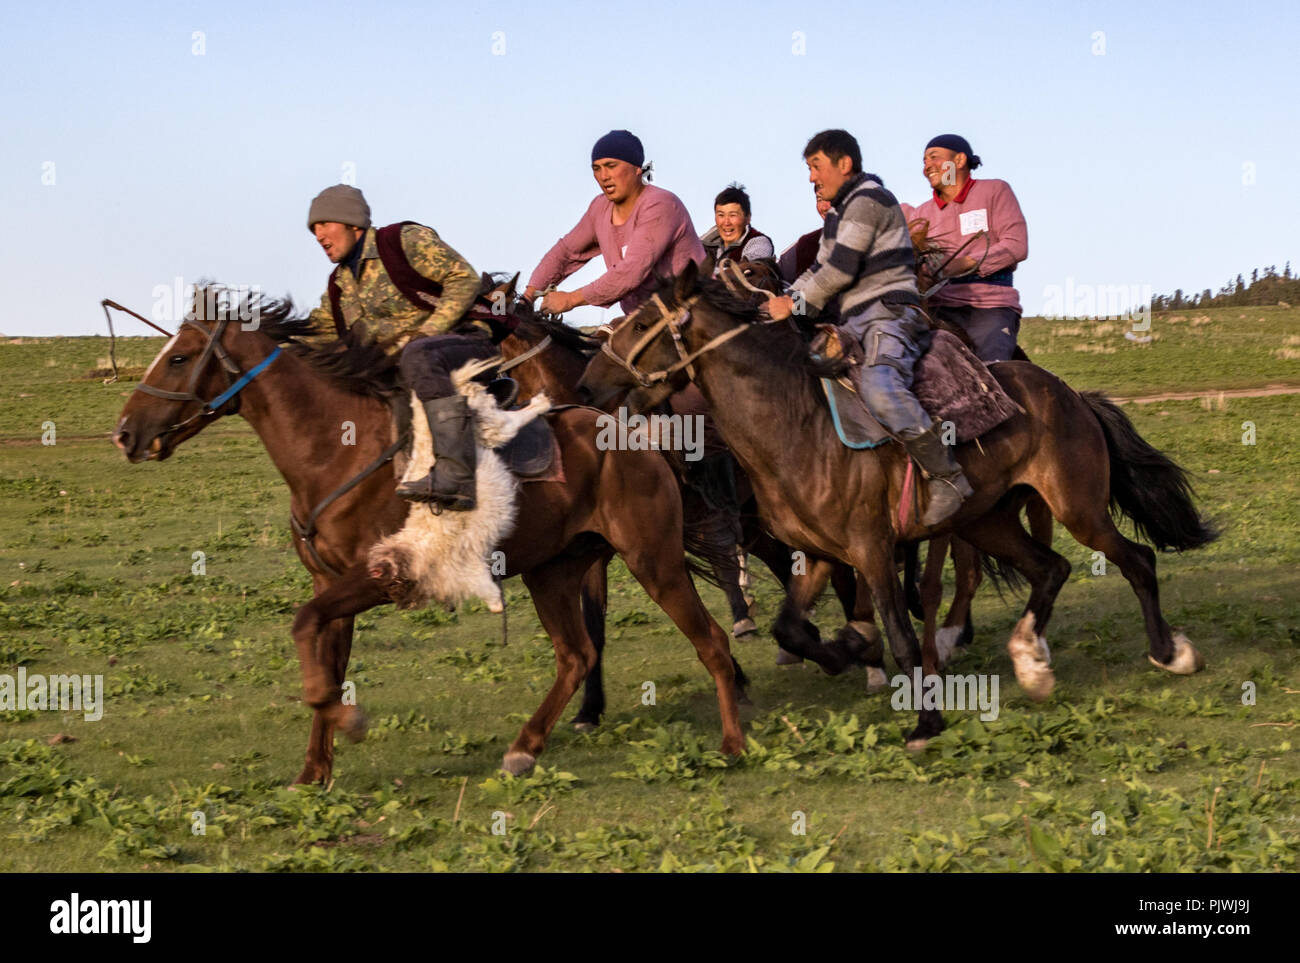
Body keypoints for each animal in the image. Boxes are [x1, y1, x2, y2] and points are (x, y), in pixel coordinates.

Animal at [116, 289, 748, 784]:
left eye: (178, 358)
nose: (125, 433)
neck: (336, 449)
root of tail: (635, 437)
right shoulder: (330, 583)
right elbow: (324, 657)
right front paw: (314, 771)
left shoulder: (380, 577)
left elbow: (304, 629)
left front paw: (348, 722)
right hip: (553, 571)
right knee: (576, 655)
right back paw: (524, 749)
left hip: (652, 560)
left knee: (710, 641)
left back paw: (734, 742)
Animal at [579, 261, 1216, 743]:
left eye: (641, 321)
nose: (588, 383)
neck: (797, 424)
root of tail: (1070, 395)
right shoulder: (821, 553)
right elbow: (791, 628)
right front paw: (843, 652)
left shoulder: (873, 549)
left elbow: (902, 635)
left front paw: (924, 720)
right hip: (989, 522)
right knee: (1050, 569)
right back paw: (1031, 663)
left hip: (1077, 508)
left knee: (1136, 561)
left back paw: (1169, 653)